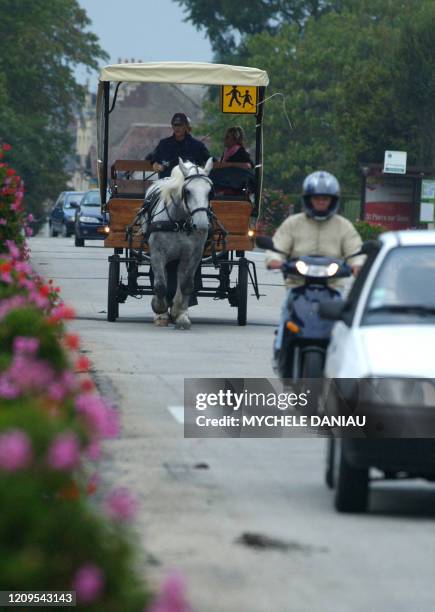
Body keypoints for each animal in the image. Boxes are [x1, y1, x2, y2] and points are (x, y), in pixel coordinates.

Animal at [138, 159, 215, 330]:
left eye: (210, 192)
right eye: (188, 191)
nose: (201, 225)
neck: (178, 222)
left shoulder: (193, 255)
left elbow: (186, 284)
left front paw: (179, 314)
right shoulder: (157, 253)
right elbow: (160, 285)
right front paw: (160, 310)